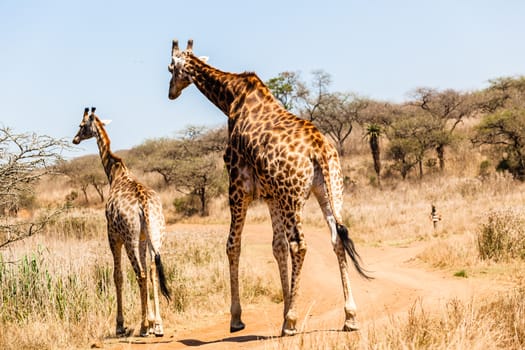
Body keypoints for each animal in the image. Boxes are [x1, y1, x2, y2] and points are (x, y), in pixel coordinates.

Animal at [71, 108, 170, 338]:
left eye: (81, 125)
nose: (75, 139)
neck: (115, 174)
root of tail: (144, 204)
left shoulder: (113, 236)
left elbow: (118, 276)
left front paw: (121, 324)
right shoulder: (143, 238)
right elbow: (149, 271)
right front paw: (153, 322)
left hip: (129, 238)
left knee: (140, 274)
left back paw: (143, 327)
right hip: (155, 234)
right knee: (152, 269)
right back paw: (158, 325)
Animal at [166, 39, 370, 336]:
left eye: (171, 68)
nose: (171, 92)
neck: (229, 98)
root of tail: (319, 149)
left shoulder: (238, 185)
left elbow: (233, 244)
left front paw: (237, 318)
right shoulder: (272, 195)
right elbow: (277, 247)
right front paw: (284, 309)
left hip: (293, 196)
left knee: (300, 244)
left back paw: (292, 322)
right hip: (329, 190)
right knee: (336, 239)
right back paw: (350, 317)